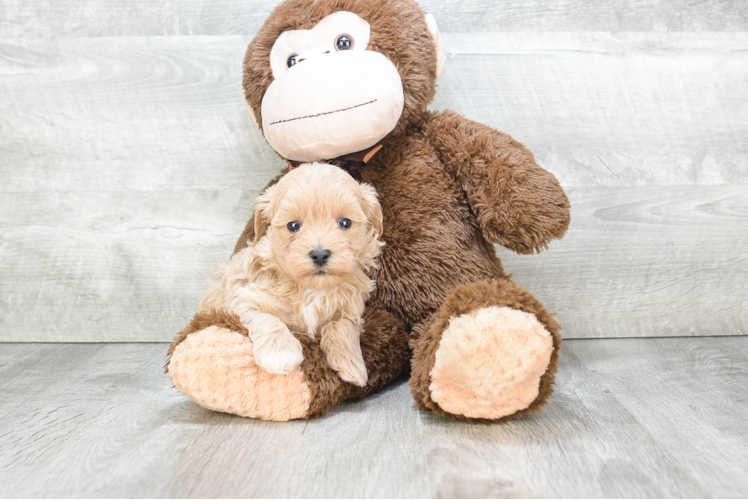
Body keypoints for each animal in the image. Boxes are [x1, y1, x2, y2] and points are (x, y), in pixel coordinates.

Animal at [197, 162, 382, 384]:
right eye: (293, 225)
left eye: (345, 223)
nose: (320, 254)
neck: (311, 289)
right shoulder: (244, 298)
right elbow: (269, 319)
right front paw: (280, 355)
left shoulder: (349, 308)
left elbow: (343, 327)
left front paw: (352, 366)